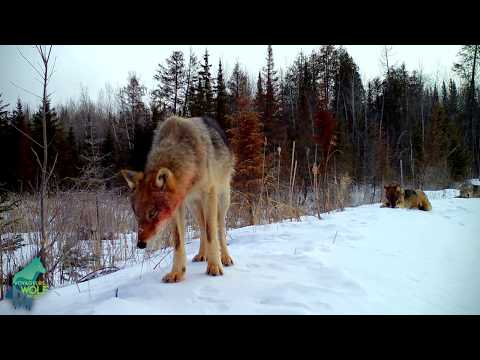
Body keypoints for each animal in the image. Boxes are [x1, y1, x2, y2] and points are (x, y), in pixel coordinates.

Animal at [121, 116, 235, 282]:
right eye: (137, 214)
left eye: (152, 213)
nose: (140, 244)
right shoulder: (177, 206)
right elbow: (178, 241)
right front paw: (177, 273)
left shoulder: (209, 194)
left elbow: (211, 233)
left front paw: (214, 266)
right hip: (194, 207)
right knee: (202, 226)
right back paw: (202, 255)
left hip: (222, 200)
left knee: (219, 228)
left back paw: (225, 258)